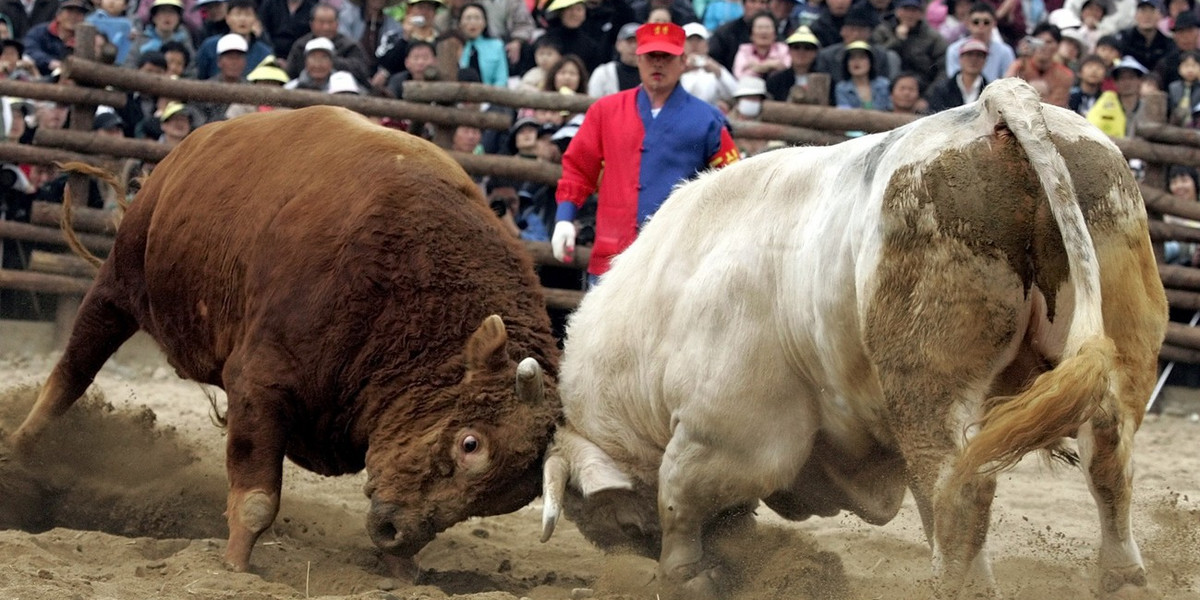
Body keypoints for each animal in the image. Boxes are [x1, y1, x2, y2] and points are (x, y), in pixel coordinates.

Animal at [9, 105, 561, 573]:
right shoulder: (258, 384)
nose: (394, 530)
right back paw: (18, 452)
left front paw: (402, 569)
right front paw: (236, 566)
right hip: (118, 284)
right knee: (73, 370)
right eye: (471, 443)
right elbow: (256, 500)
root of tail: (188, 148)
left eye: (504, 498)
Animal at [540, 77, 1166, 597]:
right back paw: (1121, 576)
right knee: (1103, 461)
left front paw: (683, 573)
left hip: (929, 385)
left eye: (608, 519)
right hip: (1117, 351)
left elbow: (680, 496)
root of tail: (994, 111)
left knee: (959, 488)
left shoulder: (729, 430)